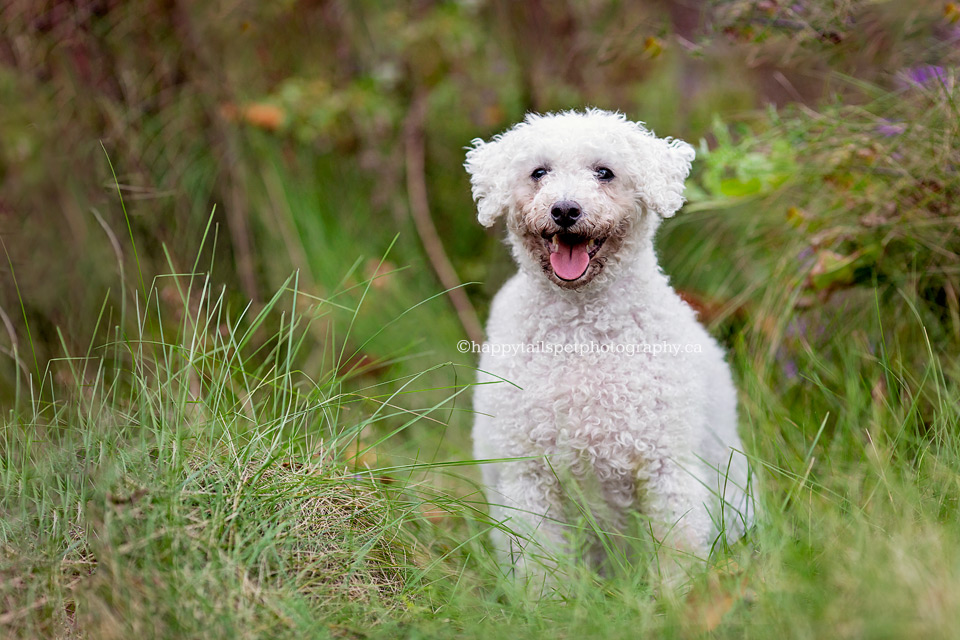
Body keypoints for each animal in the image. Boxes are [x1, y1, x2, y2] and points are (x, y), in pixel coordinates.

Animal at [466, 109, 756, 580]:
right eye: (539, 172)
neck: (583, 333)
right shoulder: (529, 476)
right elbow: (541, 564)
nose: (565, 209)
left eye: (604, 172)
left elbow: (678, 549)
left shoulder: (665, 467)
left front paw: (681, 596)